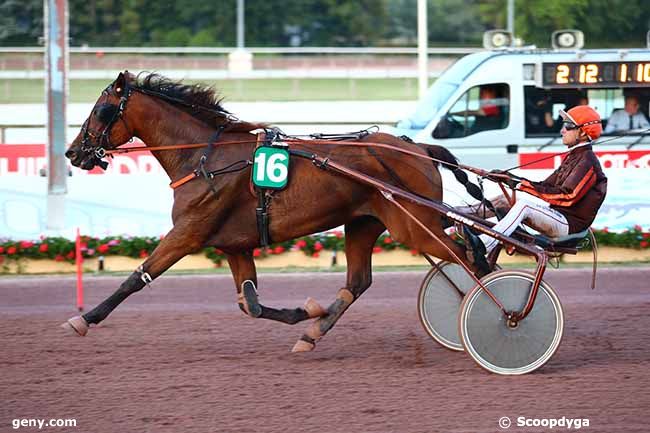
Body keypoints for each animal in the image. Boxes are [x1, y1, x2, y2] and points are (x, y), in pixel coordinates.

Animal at [63, 71, 478, 352]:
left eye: (101, 110)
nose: (72, 152)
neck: (206, 159)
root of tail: (420, 149)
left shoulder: (187, 233)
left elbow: (137, 278)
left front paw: (83, 318)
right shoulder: (235, 246)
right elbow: (250, 304)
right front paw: (307, 313)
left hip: (414, 226)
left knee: (470, 257)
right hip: (365, 223)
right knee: (359, 281)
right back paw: (312, 334)